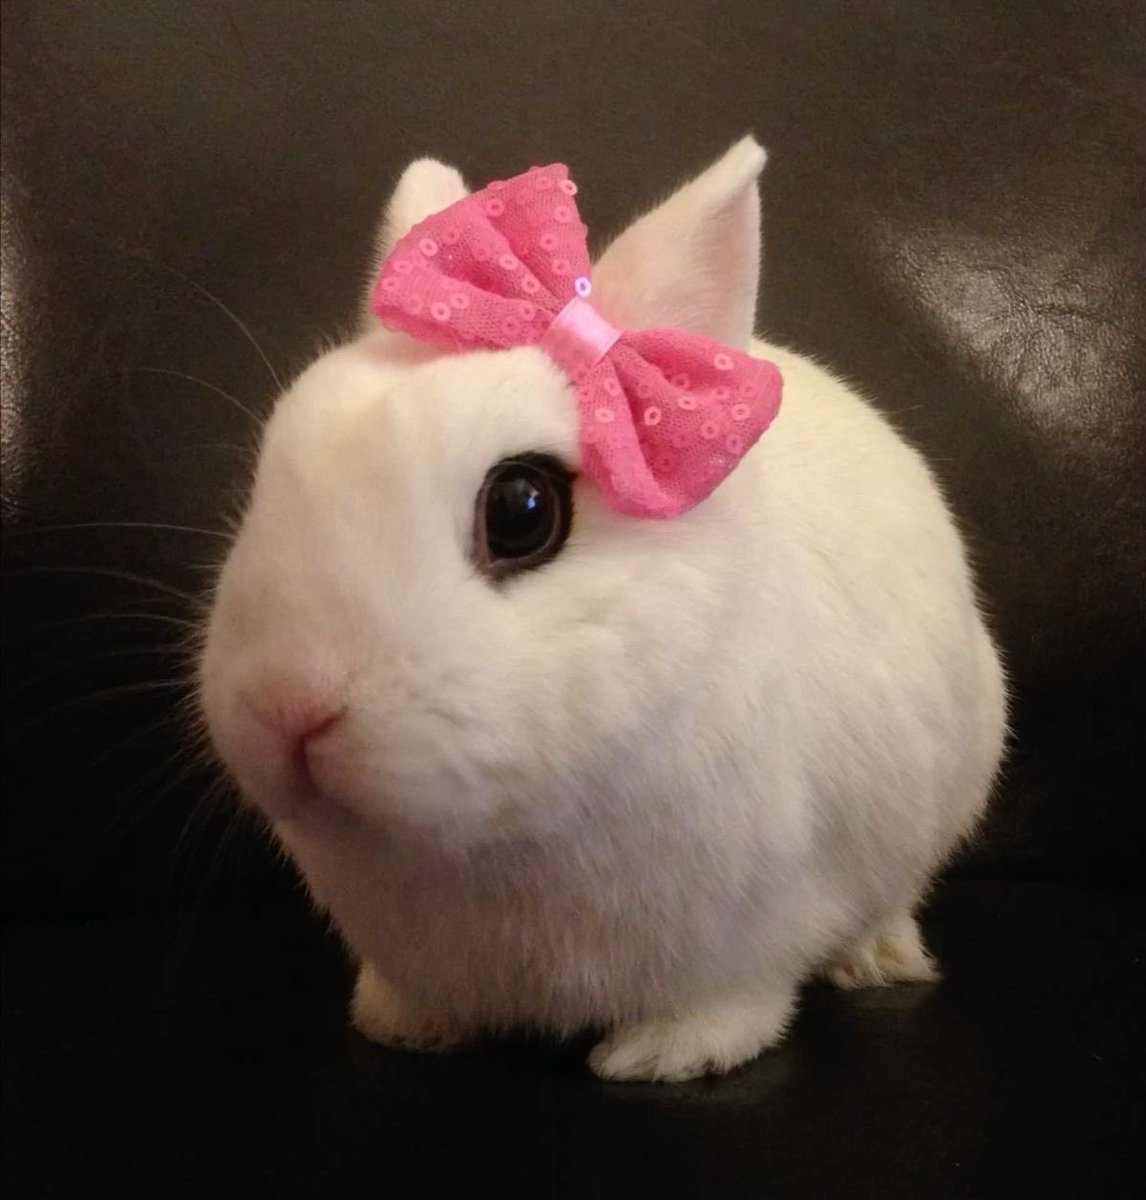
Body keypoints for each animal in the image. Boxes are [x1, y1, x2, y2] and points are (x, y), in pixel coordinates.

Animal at [198, 136, 1007, 1082]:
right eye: (276, 461)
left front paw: (664, 1057)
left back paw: (879, 959)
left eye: (522, 510)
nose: (287, 708)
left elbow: (734, 999)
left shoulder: (751, 923)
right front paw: (404, 1027)